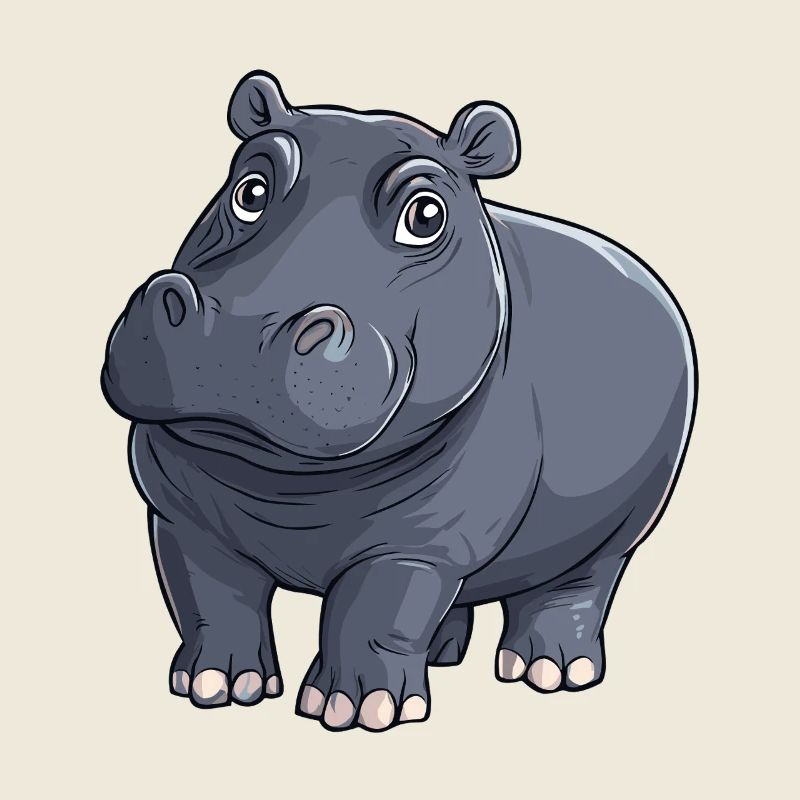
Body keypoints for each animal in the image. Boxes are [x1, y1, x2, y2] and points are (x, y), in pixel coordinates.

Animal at [101, 71, 697, 732]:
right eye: (250, 188)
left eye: (427, 213)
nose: (239, 325)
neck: (286, 488)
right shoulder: (181, 514)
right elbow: (209, 597)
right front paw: (215, 687)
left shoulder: (420, 540)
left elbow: (376, 610)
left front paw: (355, 710)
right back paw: (443, 655)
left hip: (618, 530)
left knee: (575, 586)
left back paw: (548, 672)